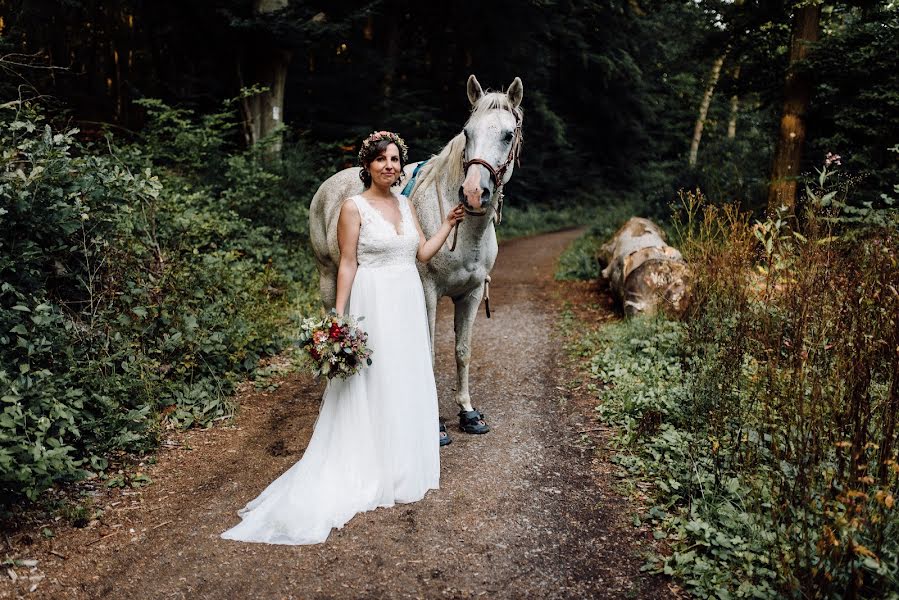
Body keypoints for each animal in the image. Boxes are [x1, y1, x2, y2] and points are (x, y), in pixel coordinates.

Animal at [310, 75, 524, 434]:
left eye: (508, 135)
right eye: (467, 132)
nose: (472, 193)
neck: (466, 234)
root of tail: (326, 188)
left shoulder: (472, 294)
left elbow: (462, 351)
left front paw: (467, 412)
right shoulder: (427, 292)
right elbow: (429, 351)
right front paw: (435, 425)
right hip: (328, 277)